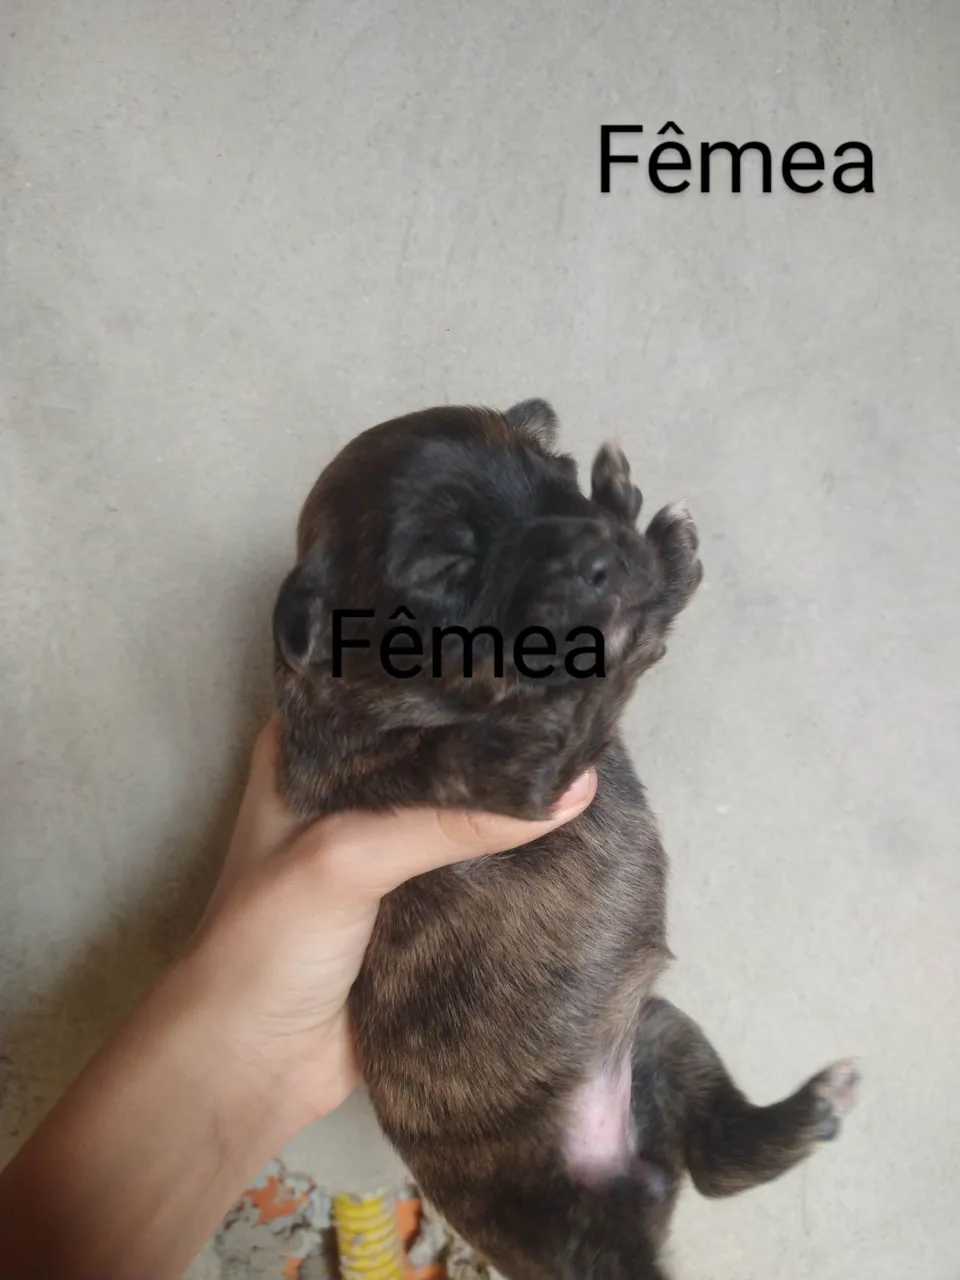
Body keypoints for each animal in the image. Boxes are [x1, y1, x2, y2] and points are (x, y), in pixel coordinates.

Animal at [271, 399, 859, 1280]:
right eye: (446, 564)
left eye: (558, 480)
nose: (599, 552)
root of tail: (629, 1186)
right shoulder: (519, 775)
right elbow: (597, 668)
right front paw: (636, 560)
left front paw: (647, 538)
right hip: (561, 1212)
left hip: (655, 1033)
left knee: (715, 1159)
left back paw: (806, 1112)